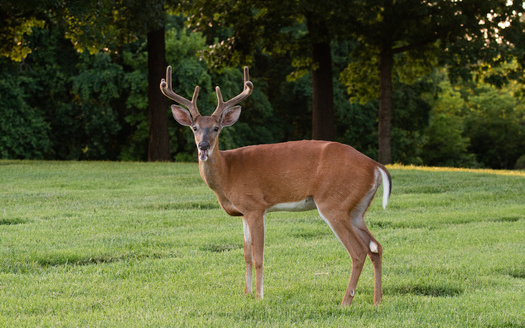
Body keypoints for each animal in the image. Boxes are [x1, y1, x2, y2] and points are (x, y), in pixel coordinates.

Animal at [160, 65, 388, 306]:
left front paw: (259, 296)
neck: (227, 172)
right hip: (356, 209)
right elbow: (246, 255)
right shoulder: (243, 212)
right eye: (194, 127)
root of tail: (375, 166)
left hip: (333, 203)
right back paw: (377, 300)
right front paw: (246, 293)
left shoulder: (255, 206)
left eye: (216, 128)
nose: (203, 146)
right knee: (376, 247)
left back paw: (345, 302)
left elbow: (258, 256)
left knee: (358, 251)